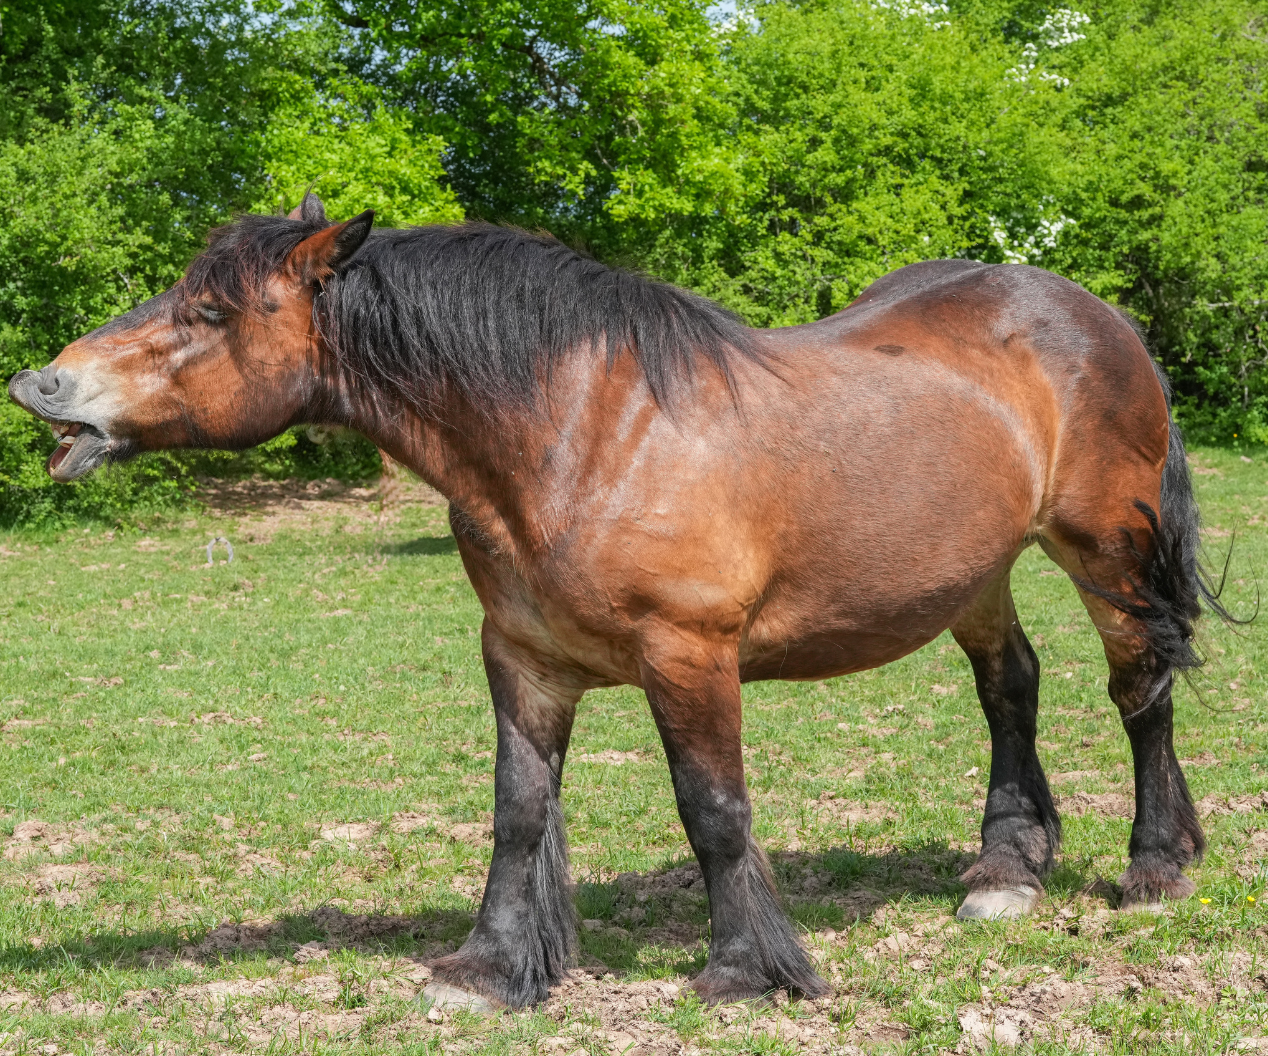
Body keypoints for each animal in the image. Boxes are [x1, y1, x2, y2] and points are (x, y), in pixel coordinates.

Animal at [9, 194, 1234, 1009]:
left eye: (212, 312)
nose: (41, 383)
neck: (579, 432)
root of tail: (1092, 315)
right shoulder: (522, 659)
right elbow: (516, 814)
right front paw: (489, 968)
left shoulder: (689, 655)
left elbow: (714, 809)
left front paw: (746, 971)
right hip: (971, 572)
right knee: (1009, 689)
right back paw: (1004, 872)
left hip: (1105, 554)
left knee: (1139, 692)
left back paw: (1153, 866)